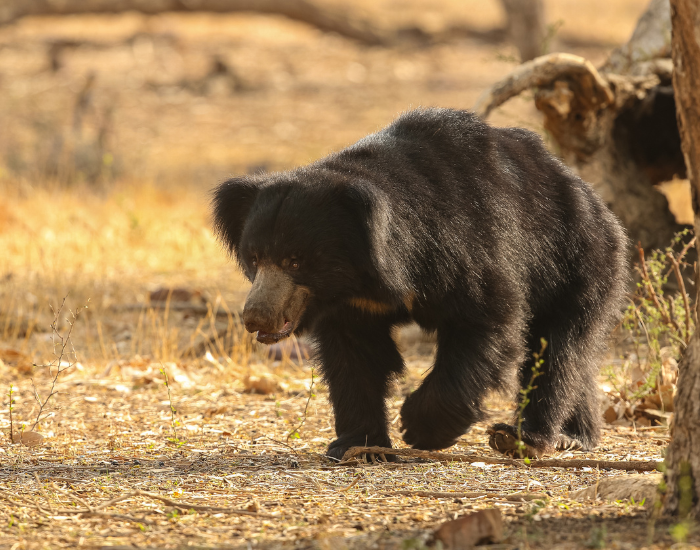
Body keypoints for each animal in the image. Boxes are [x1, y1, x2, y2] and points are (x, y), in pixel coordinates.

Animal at [212, 108, 628, 461]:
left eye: (295, 260)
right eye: (254, 258)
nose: (256, 318)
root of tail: (595, 202)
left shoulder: (466, 250)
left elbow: (488, 322)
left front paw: (419, 428)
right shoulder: (351, 306)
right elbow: (354, 357)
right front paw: (358, 446)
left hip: (576, 263)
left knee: (557, 350)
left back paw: (527, 437)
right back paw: (574, 435)